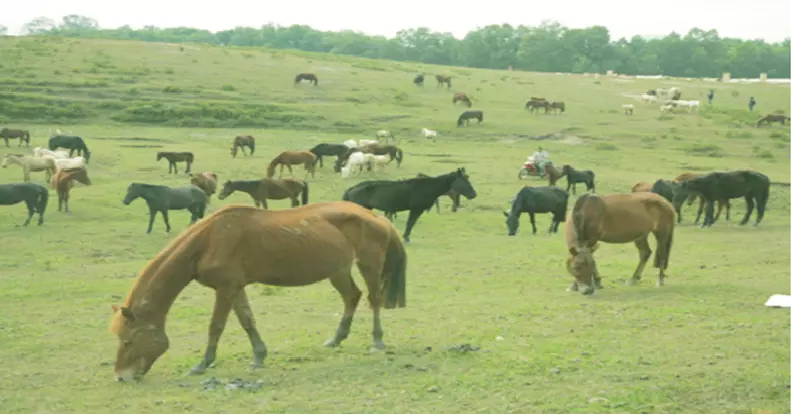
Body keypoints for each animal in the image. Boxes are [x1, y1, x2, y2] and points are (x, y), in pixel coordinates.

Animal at [108, 203, 408, 382]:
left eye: (128, 342)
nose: (121, 376)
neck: (209, 240)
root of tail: (375, 216)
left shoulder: (226, 288)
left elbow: (216, 327)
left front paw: (203, 364)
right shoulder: (235, 287)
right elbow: (247, 321)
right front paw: (259, 357)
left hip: (369, 264)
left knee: (373, 299)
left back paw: (377, 341)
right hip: (338, 270)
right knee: (352, 297)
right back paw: (336, 339)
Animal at [340, 167, 476, 242]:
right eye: (465, 181)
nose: (474, 195)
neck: (428, 187)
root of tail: (352, 188)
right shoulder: (416, 209)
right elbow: (410, 223)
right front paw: (406, 238)